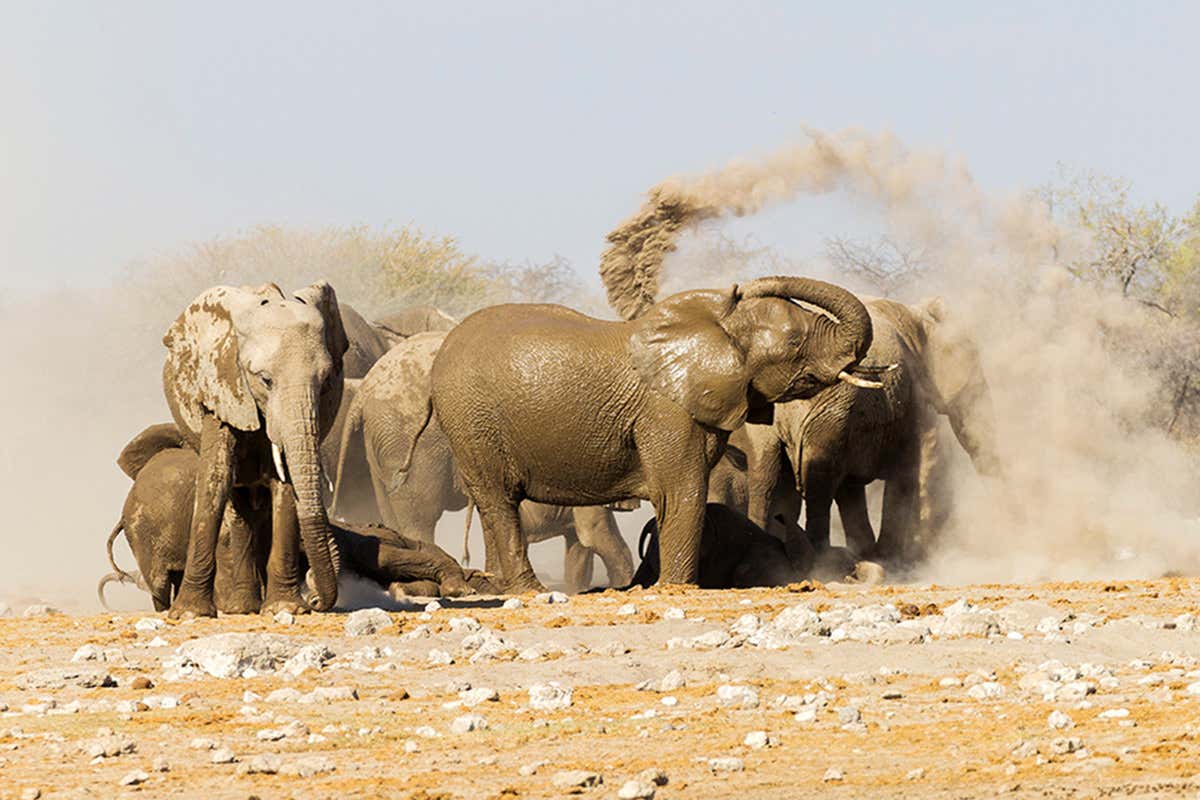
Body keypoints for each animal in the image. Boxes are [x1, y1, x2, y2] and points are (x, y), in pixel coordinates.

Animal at [161, 281, 348, 617]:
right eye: (265, 380)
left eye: (327, 381)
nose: (315, 598)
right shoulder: (221, 386)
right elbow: (216, 477)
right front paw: (190, 614)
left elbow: (284, 484)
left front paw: (286, 609)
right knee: (237, 503)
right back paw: (242, 608)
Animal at [332, 332, 635, 592]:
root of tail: (365, 390)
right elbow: (598, 538)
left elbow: (580, 548)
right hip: (410, 440)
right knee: (422, 515)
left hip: (381, 446)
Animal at [430, 276, 882, 592]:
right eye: (794, 340)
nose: (743, 286)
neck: (716, 327)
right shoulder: (667, 413)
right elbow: (682, 492)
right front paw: (678, 587)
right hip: (473, 419)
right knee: (499, 501)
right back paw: (530, 590)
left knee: (491, 505)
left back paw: (500, 585)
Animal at [742, 297, 1000, 564]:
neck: (917, 315)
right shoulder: (910, 400)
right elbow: (905, 472)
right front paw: (890, 559)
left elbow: (852, 488)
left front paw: (869, 554)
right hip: (829, 409)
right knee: (818, 485)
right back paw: (821, 560)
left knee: (764, 478)